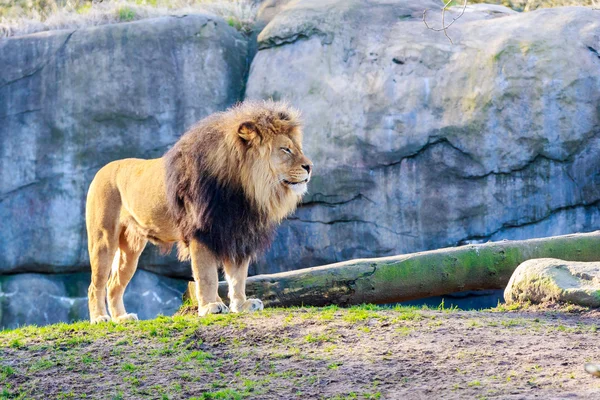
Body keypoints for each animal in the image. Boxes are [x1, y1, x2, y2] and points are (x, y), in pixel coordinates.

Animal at [88, 101, 314, 324]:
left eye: (298, 148)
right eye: (285, 149)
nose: (310, 167)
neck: (243, 187)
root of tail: (102, 169)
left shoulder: (237, 233)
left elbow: (238, 276)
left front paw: (241, 305)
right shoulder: (202, 232)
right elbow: (207, 275)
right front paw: (209, 307)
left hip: (131, 248)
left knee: (114, 284)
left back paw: (122, 318)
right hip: (103, 240)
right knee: (95, 285)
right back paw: (100, 318)